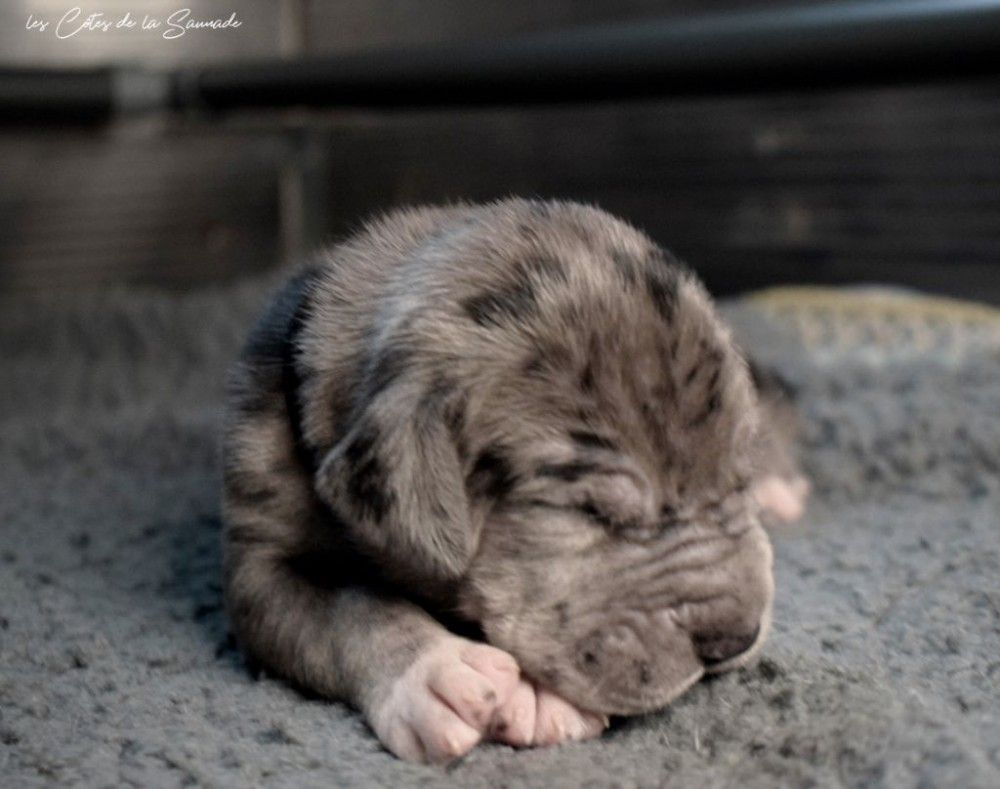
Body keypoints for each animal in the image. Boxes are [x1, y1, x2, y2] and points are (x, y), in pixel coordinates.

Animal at [221, 198, 807, 763]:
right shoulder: (258, 559)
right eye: (591, 513)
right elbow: (347, 607)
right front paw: (437, 673)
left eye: (737, 484)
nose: (735, 638)